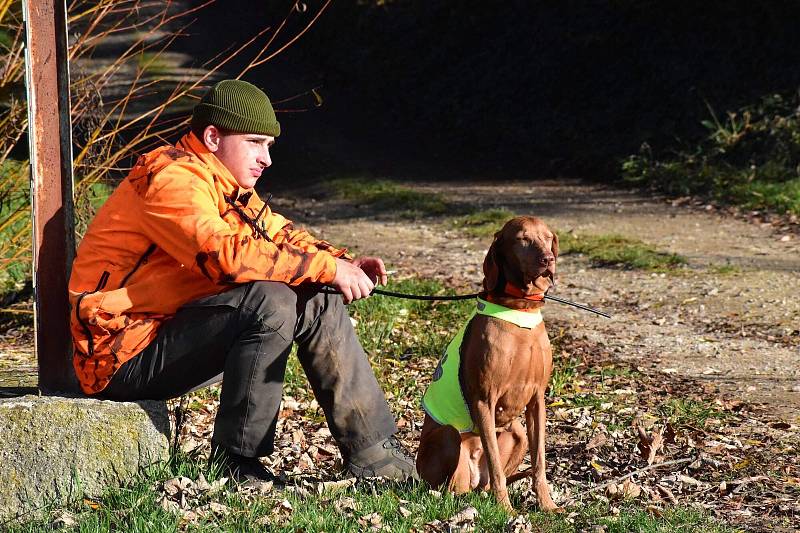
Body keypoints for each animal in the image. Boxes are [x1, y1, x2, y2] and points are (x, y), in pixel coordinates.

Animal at [416, 215, 560, 512]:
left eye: (548, 237)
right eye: (523, 239)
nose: (548, 259)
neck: (519, 307)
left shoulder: (537, 400)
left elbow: (539, 461)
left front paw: (547, 504)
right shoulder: (484, 399)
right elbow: (495, 466)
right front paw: (505, 509)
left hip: (517, 432)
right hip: (449, 438)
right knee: (448, 490)